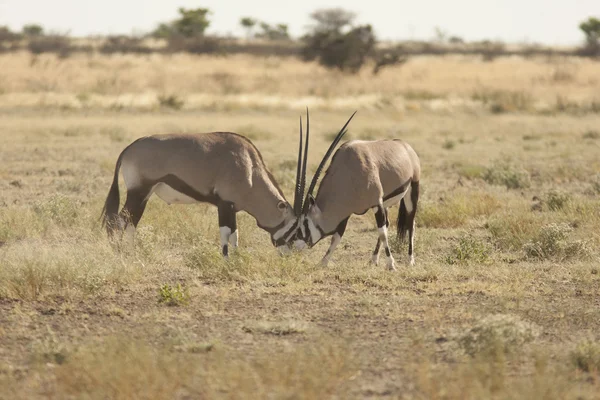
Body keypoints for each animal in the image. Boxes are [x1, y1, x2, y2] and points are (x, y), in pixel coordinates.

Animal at [101, 130, 308, 258]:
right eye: (296, 227)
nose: (294, 253)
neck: (250, 168)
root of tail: (129, 148)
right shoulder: (224, 203)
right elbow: (225, 235)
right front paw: (226, 262)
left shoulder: (232, 208)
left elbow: (235, 235)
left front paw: (237, 259)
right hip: (138, 192)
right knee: (119, 222)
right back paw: (120, 254)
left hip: (143, 196)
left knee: (131, 222)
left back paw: (132, 254)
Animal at [292, 111, 420, 270]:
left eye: (303, 225)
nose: (294, 248)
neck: (348, 169)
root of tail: (405, 145)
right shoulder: (347, 211)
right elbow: (337, 237)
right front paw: (323, 262)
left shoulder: (376, 203)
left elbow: (382, 232)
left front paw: (391, 265)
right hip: (386, 203)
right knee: (389, 223)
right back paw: (374, 259)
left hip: (411, 191)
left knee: (410, 223)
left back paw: (410, 260)